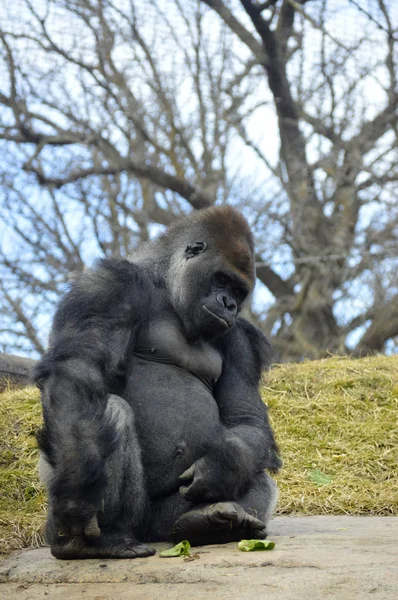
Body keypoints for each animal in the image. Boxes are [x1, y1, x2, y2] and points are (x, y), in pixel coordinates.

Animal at [35, 205, 282, 556]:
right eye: (222, 280)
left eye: (238, 291)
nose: (229, 304)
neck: (165, 285)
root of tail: (148, 532)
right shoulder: (109, 285)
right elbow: (78, 368)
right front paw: (78, 493)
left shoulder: (240, 339)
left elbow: (245, 419)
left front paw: (223, 466)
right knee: (109, 412)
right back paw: (97, 540)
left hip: (162, 519)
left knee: (258, 479)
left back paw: (204, 522)